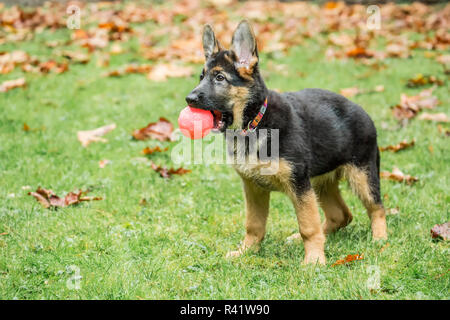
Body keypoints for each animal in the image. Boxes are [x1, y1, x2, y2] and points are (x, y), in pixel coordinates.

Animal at [185, 20, 388, 264]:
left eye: (219, 78)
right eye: (201, 77)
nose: (189, 99)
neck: (255, 123)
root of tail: (361, 110)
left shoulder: (298, 184)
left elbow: (308, 226)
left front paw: (314, 260)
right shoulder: (253, 187)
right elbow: (253, 225)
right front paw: (246, 251)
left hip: (362, 175)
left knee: (376, 207)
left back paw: (379, 239)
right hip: (321, 182)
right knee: (342, 215)